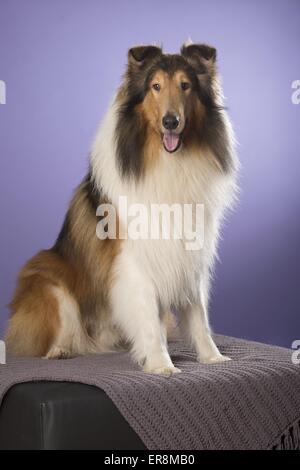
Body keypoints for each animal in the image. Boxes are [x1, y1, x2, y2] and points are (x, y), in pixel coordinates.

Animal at [5, 44, 238, 374]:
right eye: (155, 86)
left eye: (185, 85)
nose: (171, 121)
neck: (168, 162)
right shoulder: (134, 260)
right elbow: (149, 319)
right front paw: (161, 364)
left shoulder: (189, 252)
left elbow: (198, 315)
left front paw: (212, 357)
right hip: (48, 277)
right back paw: (60, 350)